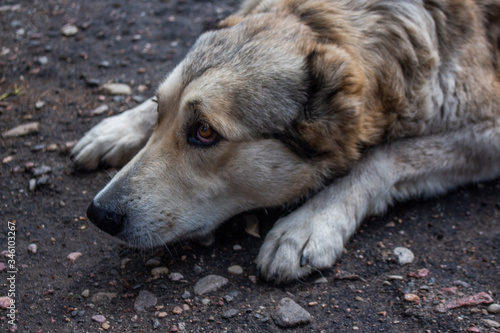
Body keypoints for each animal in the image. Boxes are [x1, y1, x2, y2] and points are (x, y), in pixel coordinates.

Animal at [72, 0, 500, 282]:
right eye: (160, 108)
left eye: (205, 132)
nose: (99, 214)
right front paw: (120, 127)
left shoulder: (490, 132)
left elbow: (382, 156)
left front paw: (309, 223)